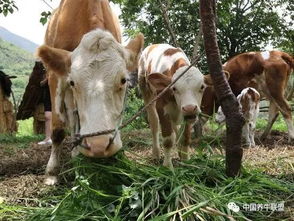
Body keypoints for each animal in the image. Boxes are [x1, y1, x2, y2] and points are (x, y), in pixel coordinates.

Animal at [37, 0, 145, 185]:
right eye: (73, 82)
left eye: (123, 80)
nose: (98, 145)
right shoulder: (56, 76)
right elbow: (58, 129)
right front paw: (51, 173)